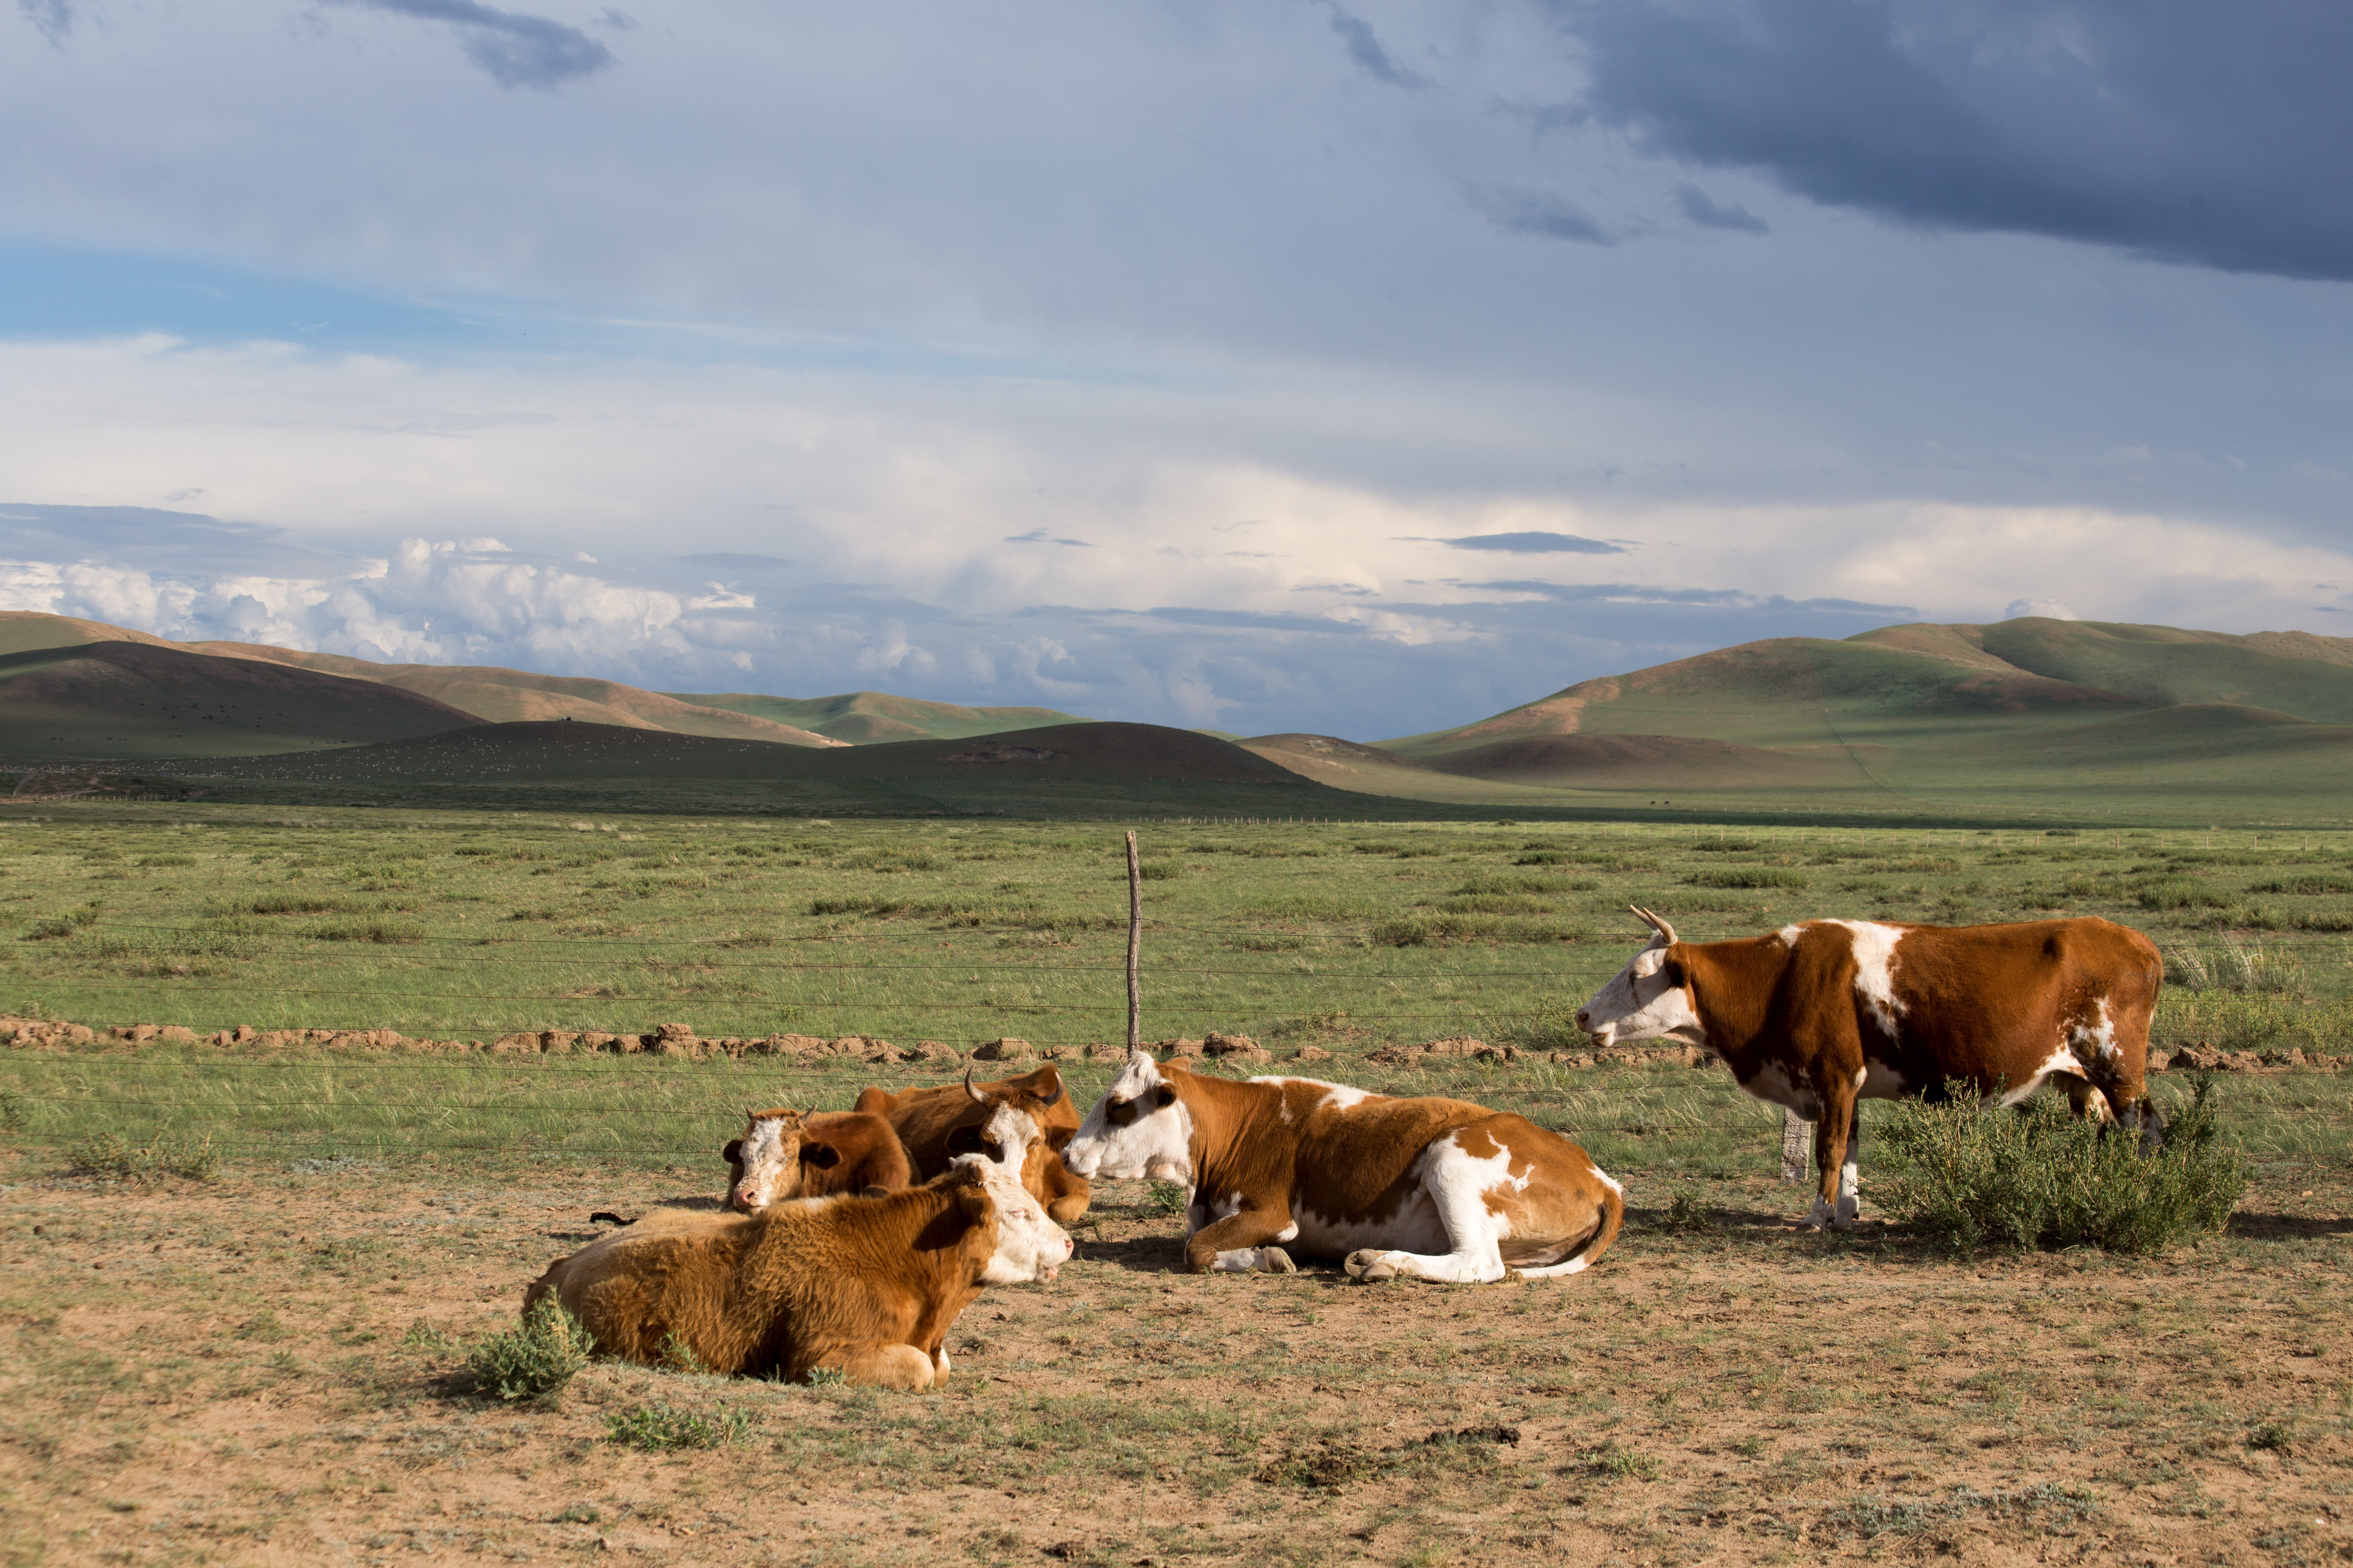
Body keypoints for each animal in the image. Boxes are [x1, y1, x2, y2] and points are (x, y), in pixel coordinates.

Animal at [1063, 1053, 1628, 1288]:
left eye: (1117, 1106)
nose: (1068, 1155)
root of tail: (1603, 1179)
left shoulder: (1273, 1214)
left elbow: (1196, 1250)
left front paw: (1267, 1259)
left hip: (1451, 1162)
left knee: (1479, 1263)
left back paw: (1384, 1263)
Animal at [1572, 902, 2155, 1232]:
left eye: (1636, 975)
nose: (1582, 1014)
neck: (1781, 978)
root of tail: (2134, 940)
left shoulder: (1832, 1078)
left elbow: (1828, 1151)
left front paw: (1816, 1216)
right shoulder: (1844, 1087)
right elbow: (1850, 1147)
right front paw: (1848, 1211)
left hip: (2117, 1066)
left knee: (2144, 1126)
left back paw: (2136, 1186)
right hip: (2081, 1080)